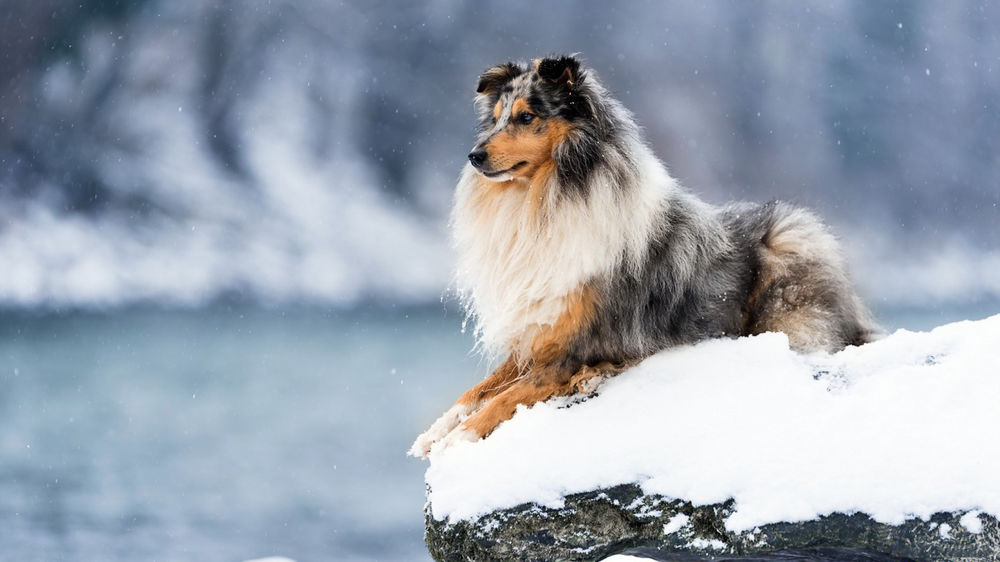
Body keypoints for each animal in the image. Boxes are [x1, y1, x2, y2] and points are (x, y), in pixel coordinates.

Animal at [406, 54, 876, 456]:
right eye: (497, 117)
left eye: (526, 116)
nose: (474, 156)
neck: (547, 198)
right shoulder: (539, 334)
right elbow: (479, 390)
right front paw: (434, 432)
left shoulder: (571, 349)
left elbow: (503, 399)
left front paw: (456, 440)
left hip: (788, 268)